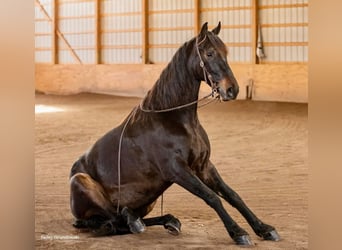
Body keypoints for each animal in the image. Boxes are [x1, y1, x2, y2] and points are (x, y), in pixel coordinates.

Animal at [68, 22, 280, 245]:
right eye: (210, 53)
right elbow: (212, 197)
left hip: (149, 200)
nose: (232, 89)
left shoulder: (204, 166)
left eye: (225, 52)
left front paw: (264, 228)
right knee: (113, 219)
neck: (173, 120)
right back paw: (134, 220)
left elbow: (232, 195)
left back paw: (168, 221)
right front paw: (238, 232)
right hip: (81, 182)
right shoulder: (177, 170)